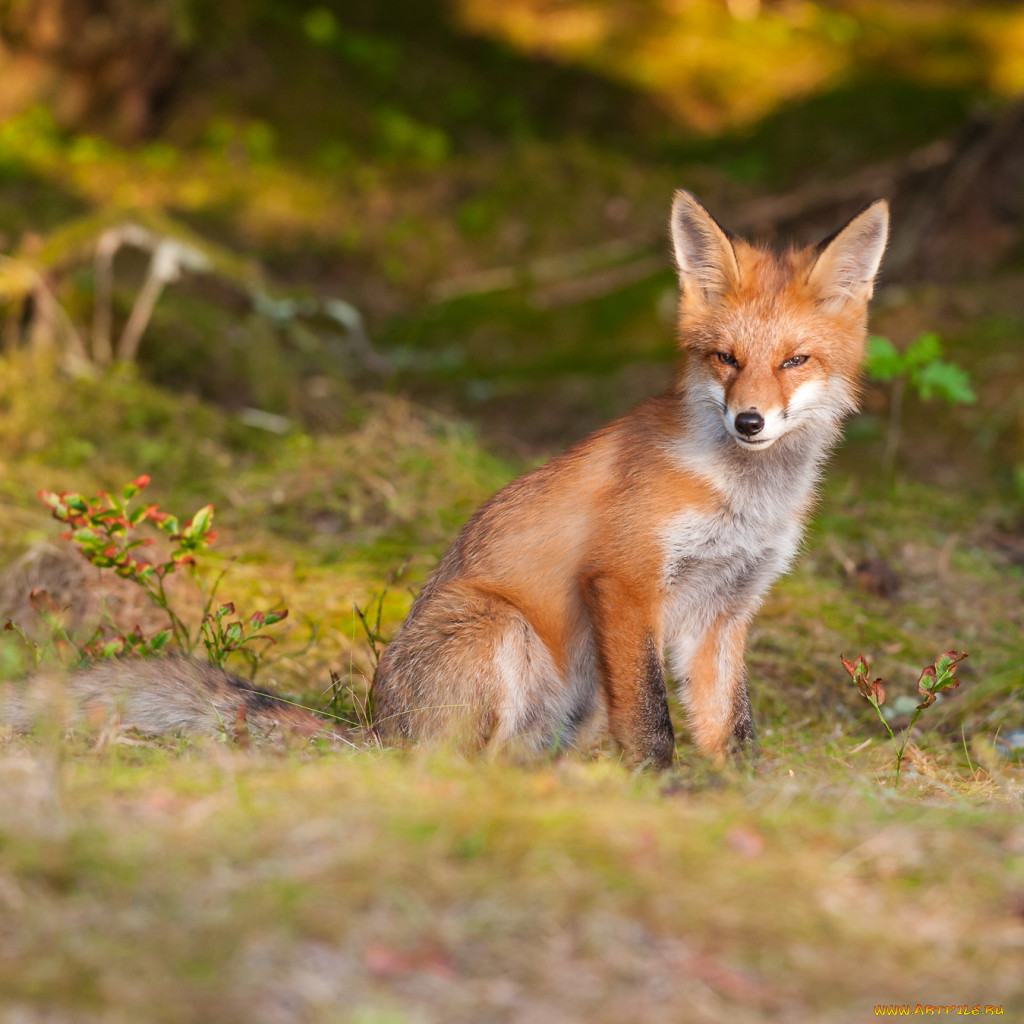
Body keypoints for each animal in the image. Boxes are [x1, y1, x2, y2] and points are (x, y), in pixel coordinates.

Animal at [370, 192, 888, 770]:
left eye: (795, 361)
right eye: (726, 358)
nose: (748, 422)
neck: (743, 501)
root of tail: (373, 725)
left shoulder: (723, 609)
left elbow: (733, 725)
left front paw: (743, 785)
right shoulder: (624, 580)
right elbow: (649, 715)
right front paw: (659, 782)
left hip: (581, 704)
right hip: (502, 628)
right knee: (457, 762)